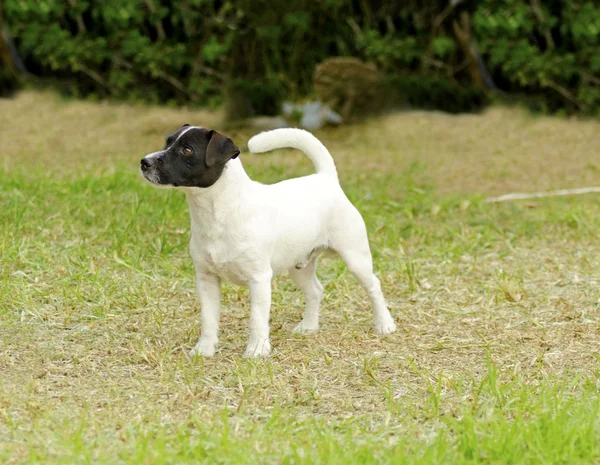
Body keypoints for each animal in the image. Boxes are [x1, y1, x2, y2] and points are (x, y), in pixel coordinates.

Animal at [138, 125, 396, 358]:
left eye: (187, 150)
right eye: (167, 142)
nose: (144, 162)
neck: (218, 213)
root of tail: (326, 179)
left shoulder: (259, 279)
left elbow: (257, 318)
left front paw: (256, 350)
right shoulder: (206, 280)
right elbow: (208, 319)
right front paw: (205, 349)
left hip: (355, 257)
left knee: (374, 286)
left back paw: (384, 324)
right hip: (298, 267)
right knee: (315, 291)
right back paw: (309, 327)